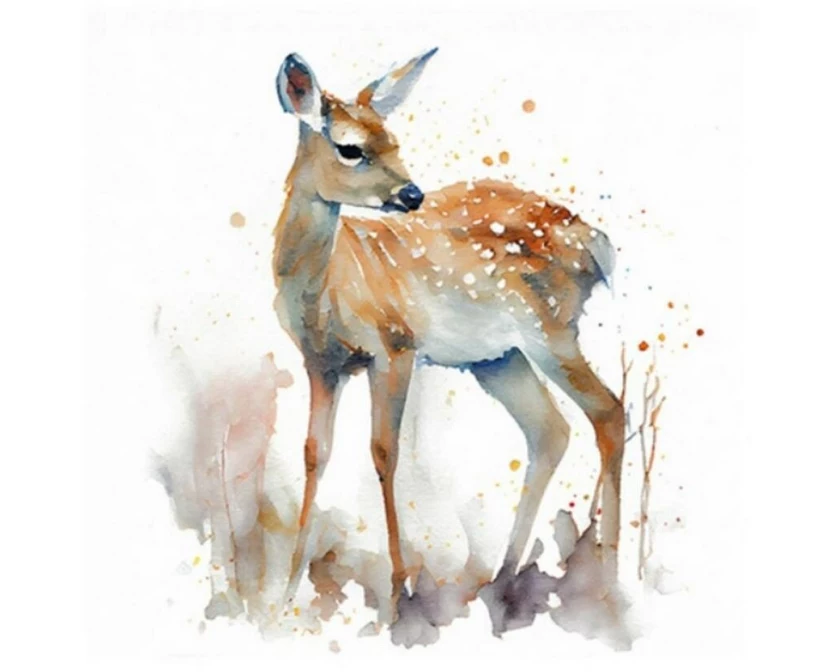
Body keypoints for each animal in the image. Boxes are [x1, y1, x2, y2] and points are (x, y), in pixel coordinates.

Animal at [272, 49, 625, 621]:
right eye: (350, 148)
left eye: (395, 140)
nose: (412, 194)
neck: (325, 289)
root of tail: (598, 242)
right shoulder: (320, 362)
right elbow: (313, 452)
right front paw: (284, 593)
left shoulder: (394, 345)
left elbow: (383, 451)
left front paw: (398, 593)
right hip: (498, 357)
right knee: (550, 430)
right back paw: (503, 580)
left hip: (551, 329)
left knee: (608, 411)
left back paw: (609, 578)